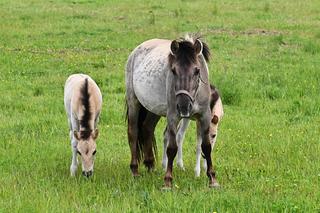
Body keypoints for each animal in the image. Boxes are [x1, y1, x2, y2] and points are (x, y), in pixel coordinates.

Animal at [124, 35, 218, 188]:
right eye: (173, 71)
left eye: (197, 71)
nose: (184, 106)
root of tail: (135, 51)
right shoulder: (173, 116)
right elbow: (172, 148)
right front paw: (168, 180)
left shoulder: (205, 116)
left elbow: (206, 146)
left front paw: (212, 179)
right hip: (133, 102)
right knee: (133, 133)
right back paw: (135, 170)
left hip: (153, 110)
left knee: (147, 128)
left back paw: (150, 165)